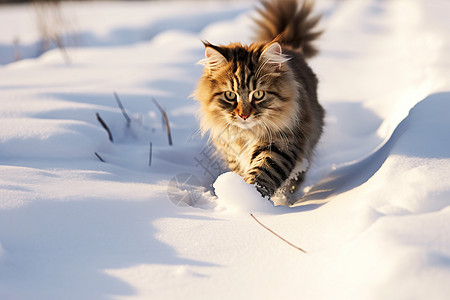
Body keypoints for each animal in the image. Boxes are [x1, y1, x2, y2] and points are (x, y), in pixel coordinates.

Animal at [193, 0, 324, 200]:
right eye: (230, 95)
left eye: (258, 94)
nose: (244, 115)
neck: (247, 135)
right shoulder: (231, 150)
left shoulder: (281, 142)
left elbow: (264, 173)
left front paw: (249, 198)